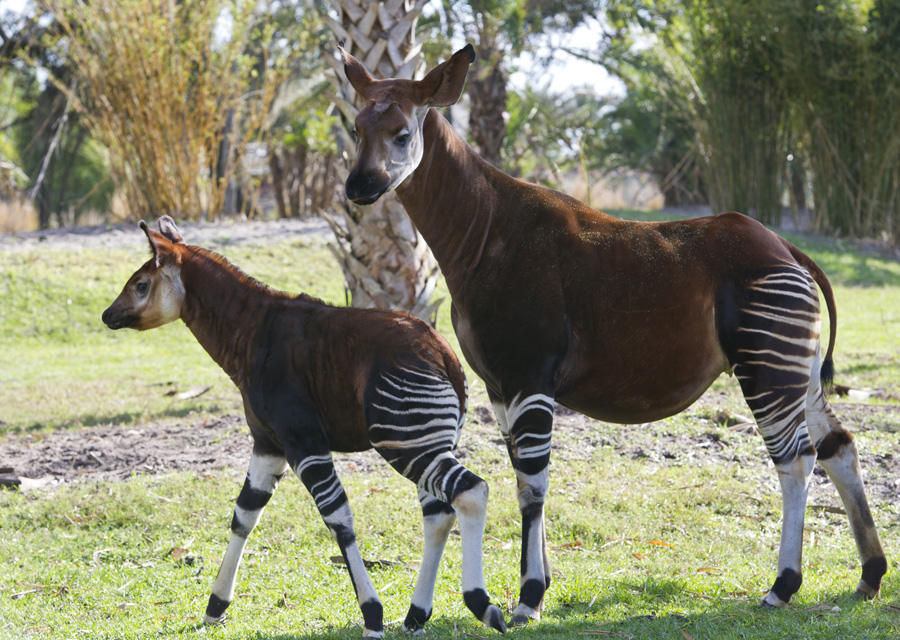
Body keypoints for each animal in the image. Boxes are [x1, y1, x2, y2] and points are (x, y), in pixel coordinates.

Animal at [101, 218, 506, 636]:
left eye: (140, 285)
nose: (106, 314)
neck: (250, 335)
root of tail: (446, 356)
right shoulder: (268, 444)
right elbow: (244, 515)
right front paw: (216, 606)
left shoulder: (303, 442)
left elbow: (338, 520)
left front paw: (372, 615)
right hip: (427, 441)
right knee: (439, 513)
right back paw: (415, 614)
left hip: (404, 441)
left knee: (470, 491)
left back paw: (482, 605)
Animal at [340, 42, 884, 624]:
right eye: (355, 129)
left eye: (402, 134)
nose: (358, 186)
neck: (482, 234)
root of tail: (787, 249)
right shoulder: (500, 383)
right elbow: (522, 476)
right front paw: (539, 588)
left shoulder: (529, 373)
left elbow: (534, 482)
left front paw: (530, 596)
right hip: (795, 366)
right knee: (838, 445)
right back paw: (870, 576)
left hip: (764, 365)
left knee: (795, 460)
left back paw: (783, 585)